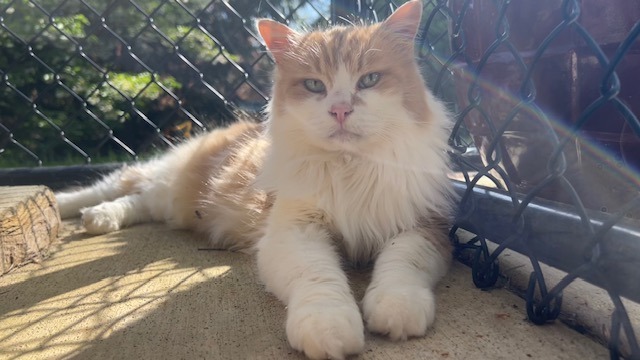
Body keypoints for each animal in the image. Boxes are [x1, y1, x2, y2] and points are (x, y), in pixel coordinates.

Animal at [55, 1, 456, 358]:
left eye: (370, 80)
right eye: (314, 85)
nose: (340, 110)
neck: (349, 166)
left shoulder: (423, 226)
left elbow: (402, 266)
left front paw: (397, 309)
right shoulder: (293, 231)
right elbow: (319, 280)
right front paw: (328, 329)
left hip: (169, 201)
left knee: (136, 200)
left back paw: (98, 218)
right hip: (165, 185)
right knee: (113, 187)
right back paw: (71, 208)